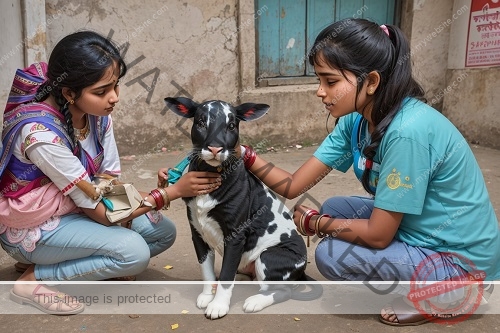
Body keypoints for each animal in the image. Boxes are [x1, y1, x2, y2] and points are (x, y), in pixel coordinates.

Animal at [164, 96, 320, 320]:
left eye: (231, 125)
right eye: (201, 122)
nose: (215, 148)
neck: (214, 175)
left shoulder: (235, 237)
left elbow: (226, 275)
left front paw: (218, 305)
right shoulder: (197, 233)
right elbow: (206, 270)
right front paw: (207, 295)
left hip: (267, 257)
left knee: (283, 291)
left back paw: (255, 301)